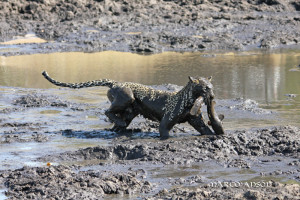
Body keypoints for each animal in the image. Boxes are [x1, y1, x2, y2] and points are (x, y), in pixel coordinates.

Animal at [42, 71, 225, 139]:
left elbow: (206, 130)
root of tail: (115, 82)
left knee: (116, 123)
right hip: (126, 97)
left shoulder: (196, 120)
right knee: (107, 111)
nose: (212, 95)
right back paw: (119, 123)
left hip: (129, 111)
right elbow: (165, 133)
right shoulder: (166, 122)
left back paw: (119, 128)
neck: (189, 101)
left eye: (212, 86)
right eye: (205, 88)